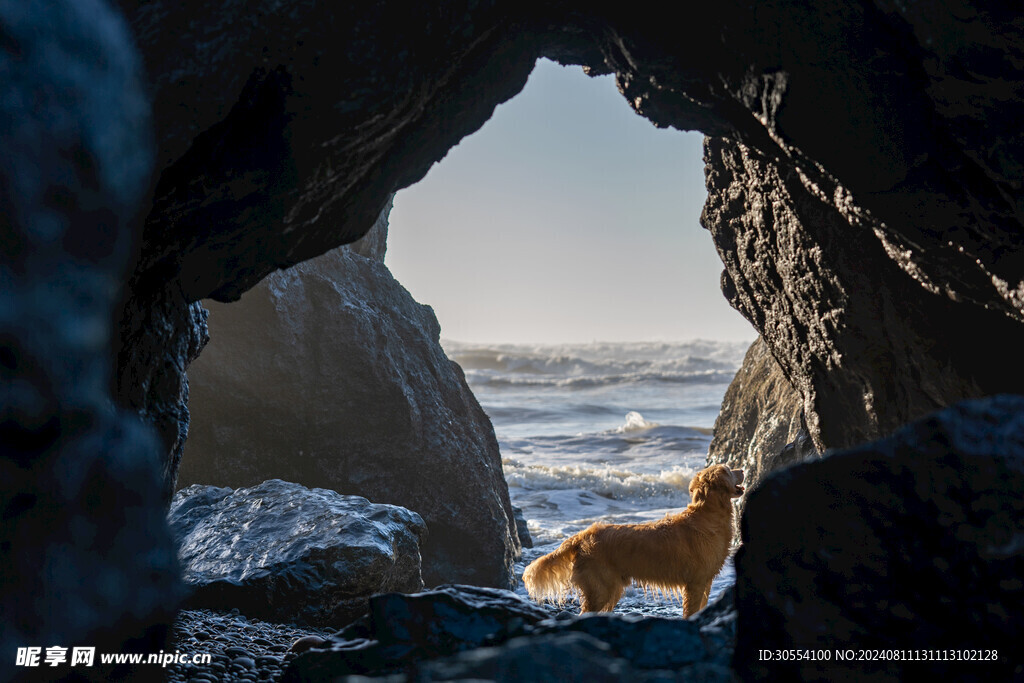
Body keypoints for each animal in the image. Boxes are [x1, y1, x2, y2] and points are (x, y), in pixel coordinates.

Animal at [520, 466, 745, 618]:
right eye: (728, 469)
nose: (742, 469)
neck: (707, 515)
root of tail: (582, 535)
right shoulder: (695, 583)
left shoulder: (705, 582)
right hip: (602, 589)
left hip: (611, 589)